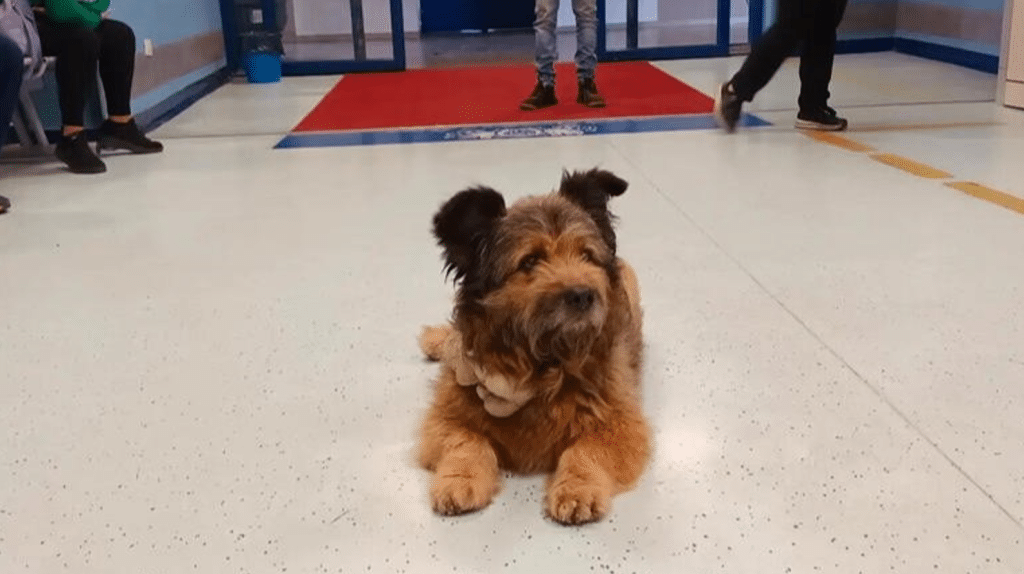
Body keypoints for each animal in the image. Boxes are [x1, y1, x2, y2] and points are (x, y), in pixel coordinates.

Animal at [413, 166, 647, 523]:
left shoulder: (621, 423)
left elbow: (585, 450)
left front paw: (577, 488)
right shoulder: (445, 417)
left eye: (586, 255)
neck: (543, 363)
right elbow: (469, 442)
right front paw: (460, 480)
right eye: (530, 261)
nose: (584, 295)